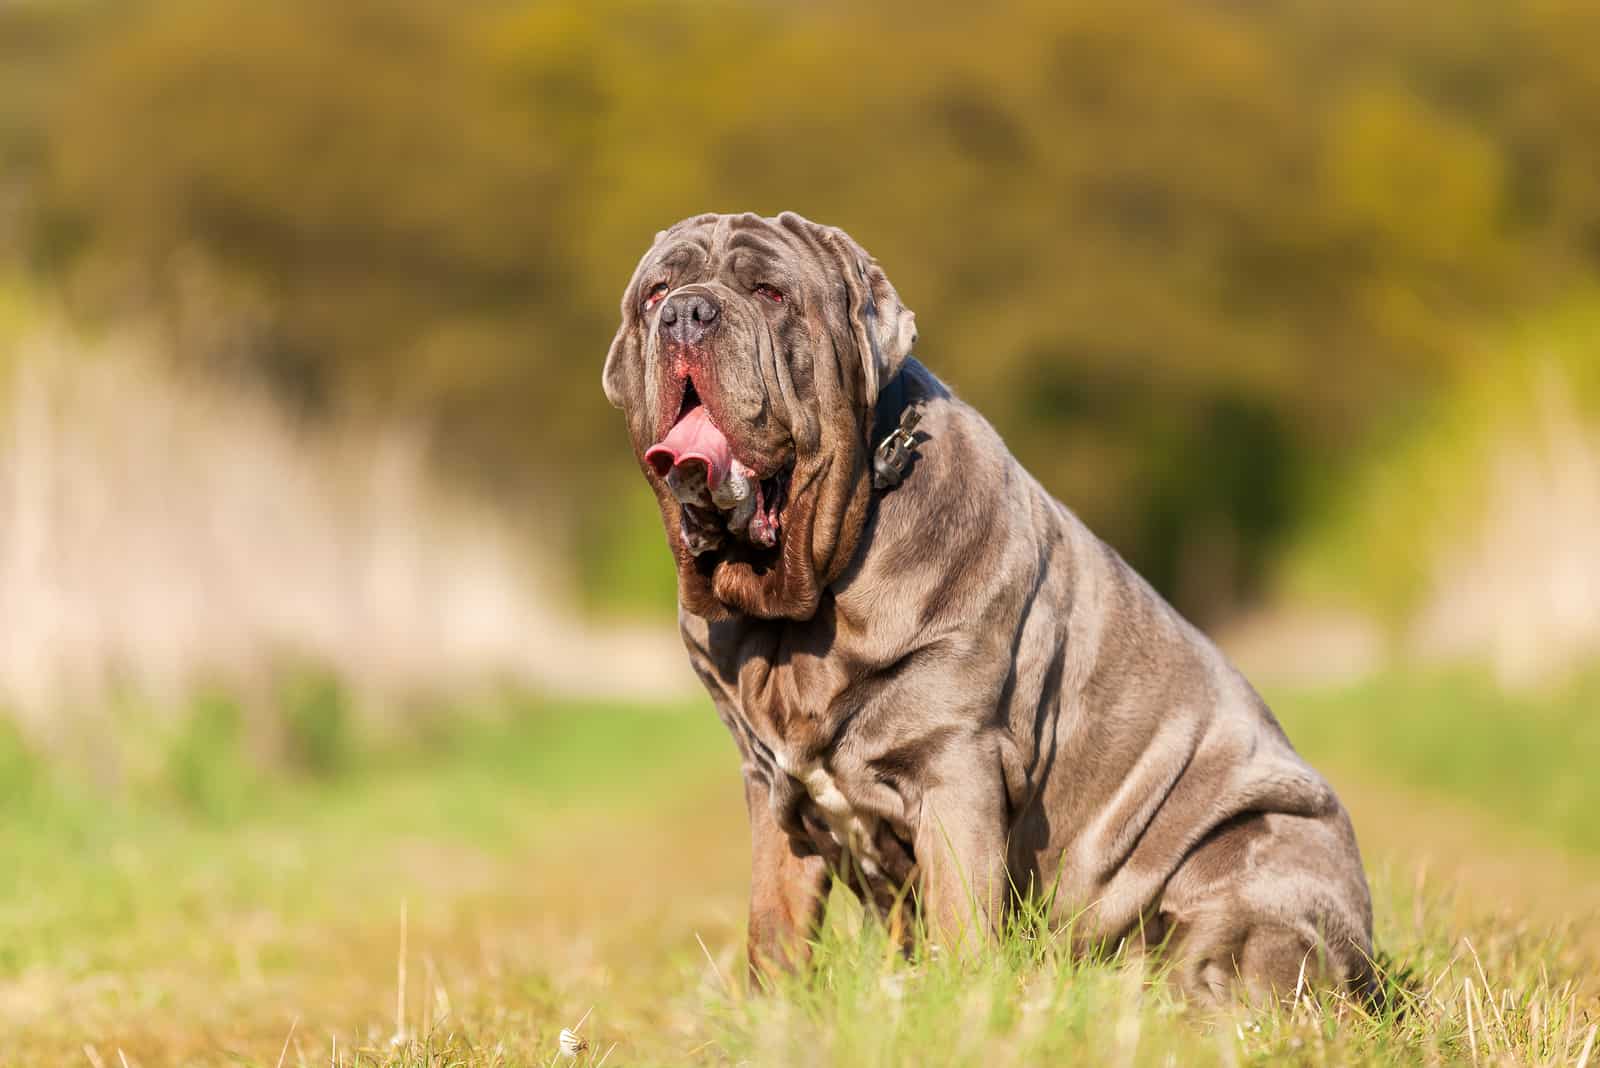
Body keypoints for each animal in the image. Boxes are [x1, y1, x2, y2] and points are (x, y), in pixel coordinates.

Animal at [601, 211, 1376, 1004]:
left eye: (770, 292)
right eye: (656, 292)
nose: (687, 313)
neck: (799, 608)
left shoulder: (956, 767)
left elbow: (958, 915)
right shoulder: (773, 791)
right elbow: (776, 927)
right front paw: (775, 1012)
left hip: (1256, 854)